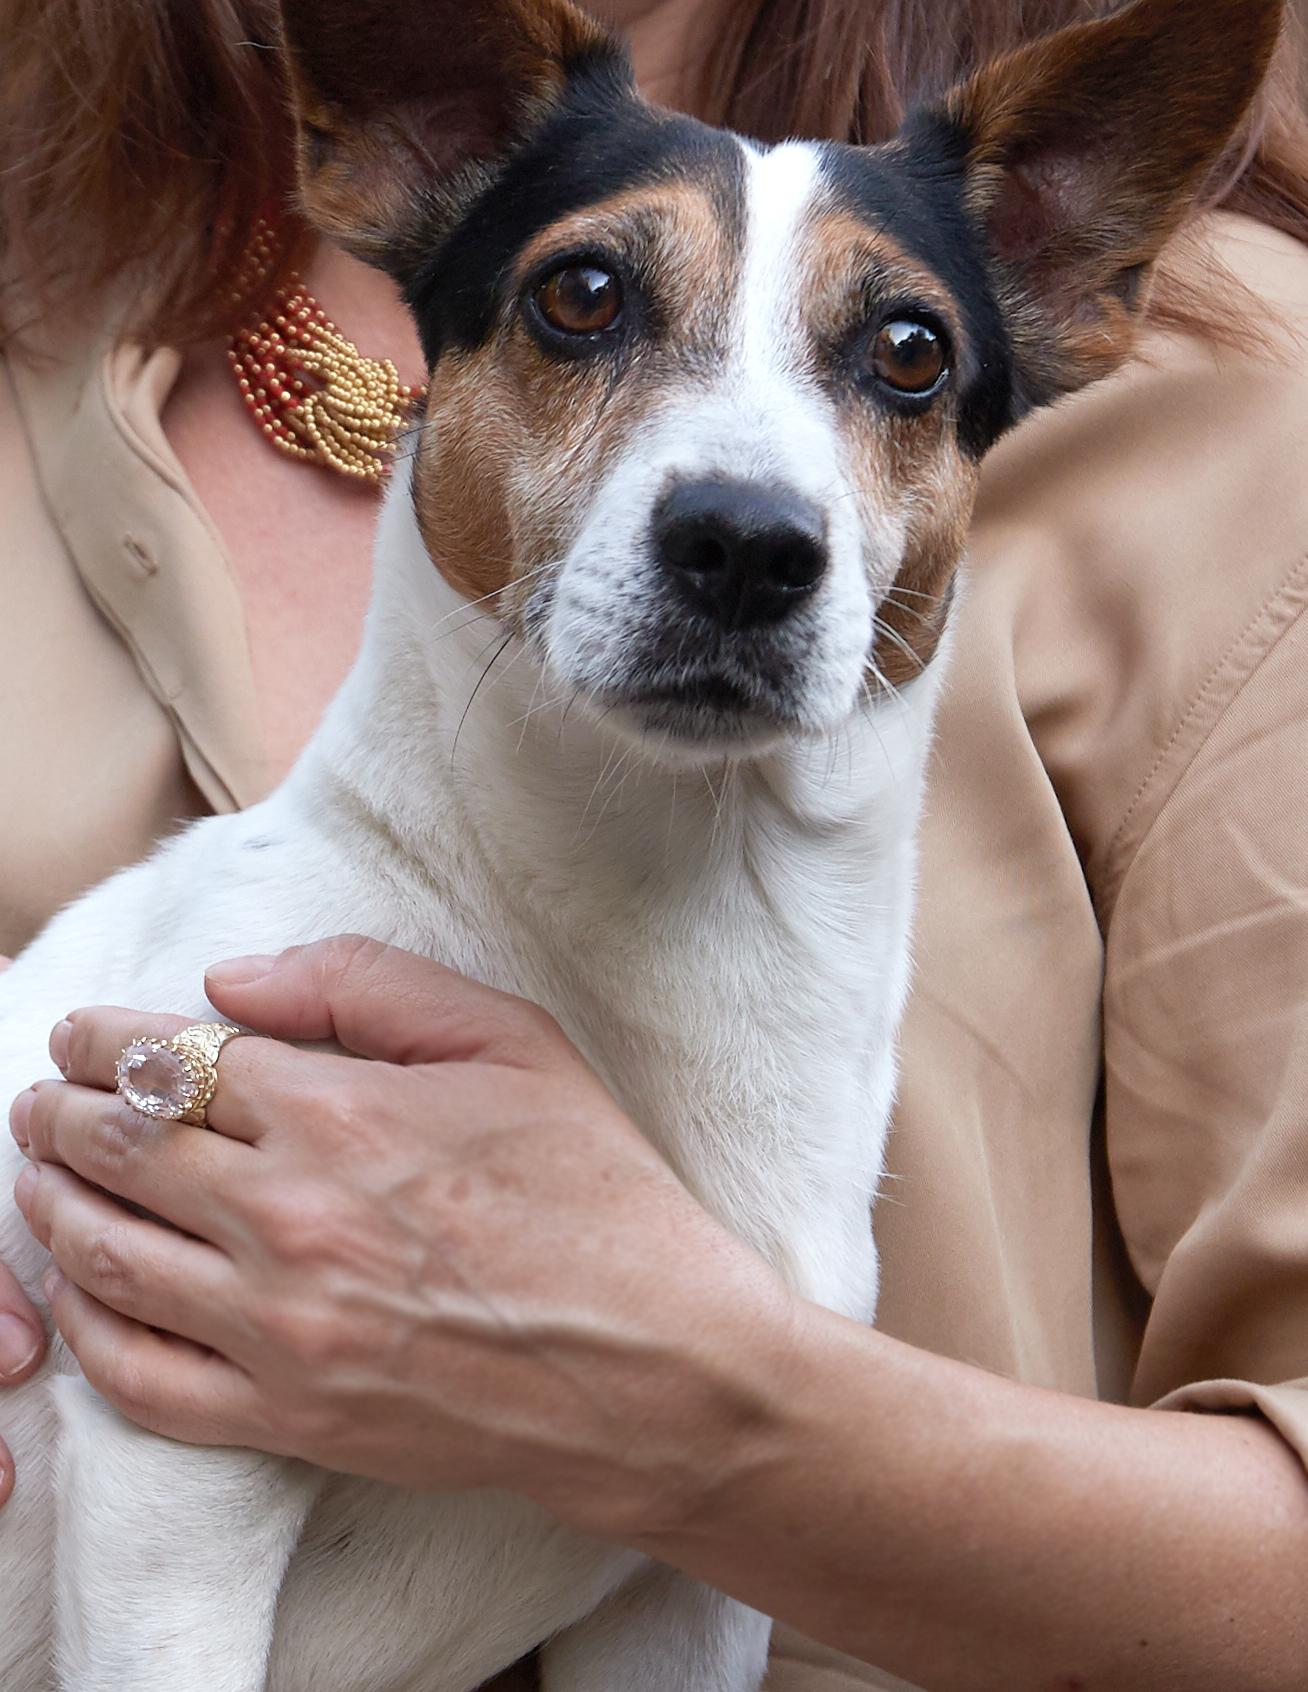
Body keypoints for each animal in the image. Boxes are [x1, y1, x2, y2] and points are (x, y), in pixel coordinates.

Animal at [0, 0, 1272, 1685]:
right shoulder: (174, 1485)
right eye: (582, 293)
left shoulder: (704, 1561)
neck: (679, 898)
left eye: (912, 351)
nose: (745, 544)